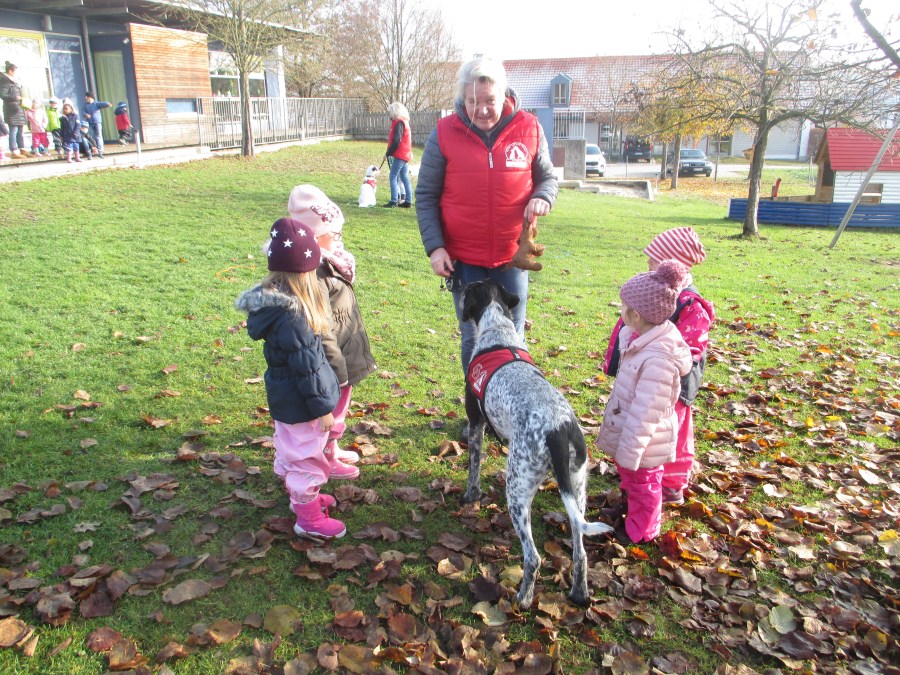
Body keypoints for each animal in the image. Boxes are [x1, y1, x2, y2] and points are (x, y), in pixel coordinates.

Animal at [464, 280, 612, 608]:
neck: (498, 329)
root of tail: (558, 429)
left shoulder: (476, 422)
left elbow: (474, 467)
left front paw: (471, 495)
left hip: (518, 491)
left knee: (533, 557)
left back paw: (523, 598)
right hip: (577, 485)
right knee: (580, 551)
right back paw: (579, 594)